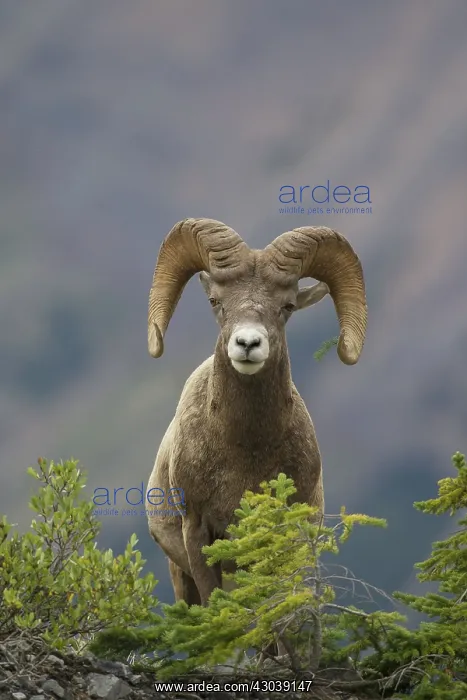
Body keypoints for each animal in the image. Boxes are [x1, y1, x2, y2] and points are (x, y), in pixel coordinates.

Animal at [146, 218, 367, 612]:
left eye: (288, 305)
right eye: (216, 302)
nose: (247, 344)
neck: (245, 450)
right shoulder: (198, 534)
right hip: (181, 578)